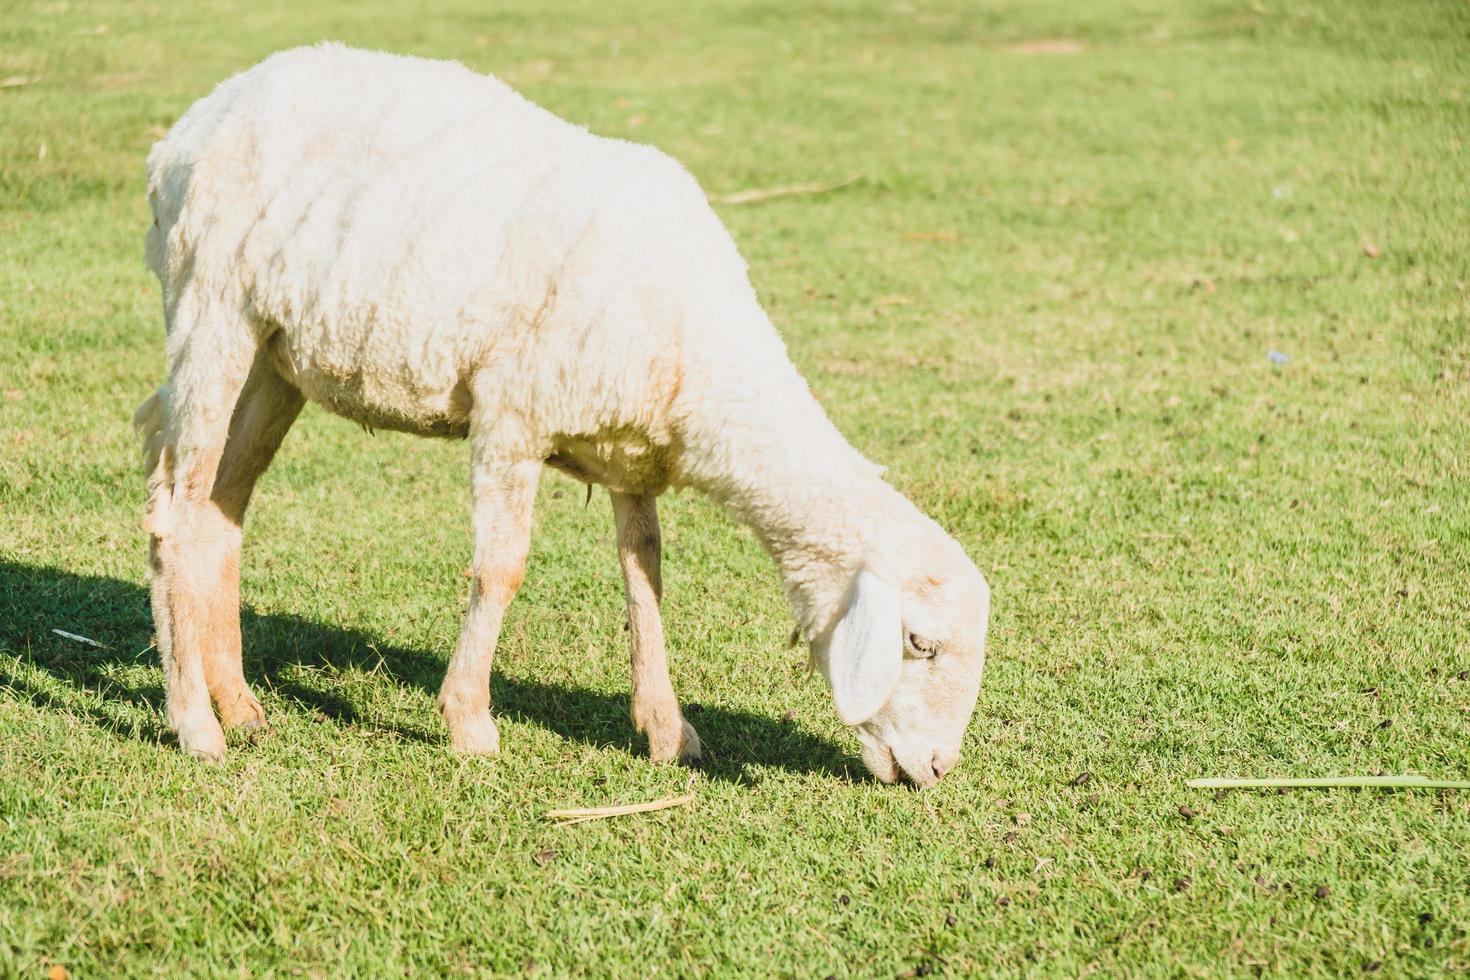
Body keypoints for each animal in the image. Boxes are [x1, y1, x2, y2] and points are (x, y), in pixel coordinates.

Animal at [140, 42, 987, 787]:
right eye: (920, 642)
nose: (938, 769)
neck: (703, 358)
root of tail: (190, 126)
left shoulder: (631, 451)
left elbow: (646, 575)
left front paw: (667, 728)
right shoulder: (511, 418)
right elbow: (502, 569)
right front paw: (469, 721)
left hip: (275, 355)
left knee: (219, 505)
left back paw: (240, 704)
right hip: (211, 305)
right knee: (176, 511)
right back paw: (197, 725)